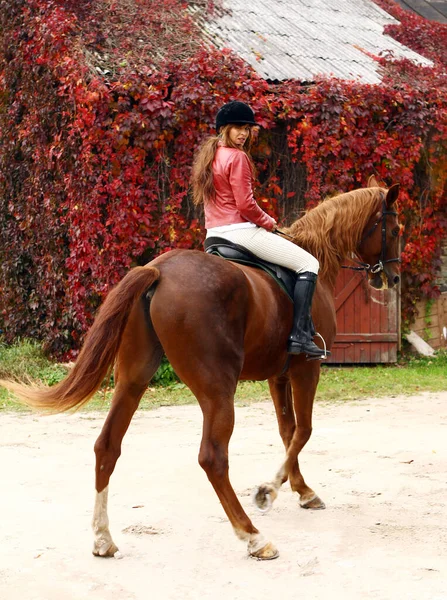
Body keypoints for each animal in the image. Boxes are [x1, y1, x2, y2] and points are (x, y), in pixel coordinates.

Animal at [1, 176, 402, 560]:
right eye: (395, 228)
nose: (393, 278)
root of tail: (158, 270)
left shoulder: (278, 374)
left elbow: (287, 432)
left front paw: (302, 490)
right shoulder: (306, 368)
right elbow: (303, 431)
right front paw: (268, 491)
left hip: (132, 379)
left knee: (107, 446)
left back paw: (103, 539)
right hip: (217, 390)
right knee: (213, 458)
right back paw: (254, 538)